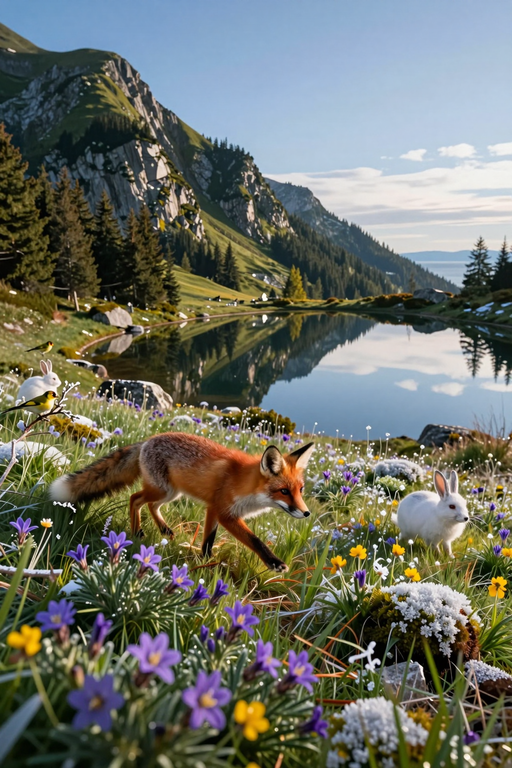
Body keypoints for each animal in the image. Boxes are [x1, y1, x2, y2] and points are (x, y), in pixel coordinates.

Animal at [49, 432, 315, 572]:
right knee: (135, 499)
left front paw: (205, 561)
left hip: (170, 493)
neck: (245, 484)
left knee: (149, 505)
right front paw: (274, 562)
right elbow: (255, 540)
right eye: (284, 491)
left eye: (300, 490)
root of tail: (147, 440)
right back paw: (137, 531)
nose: (306, 513)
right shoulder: (224, 512)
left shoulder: (212, 510)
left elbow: (208, 541)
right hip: (163, 490)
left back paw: (163, 529)